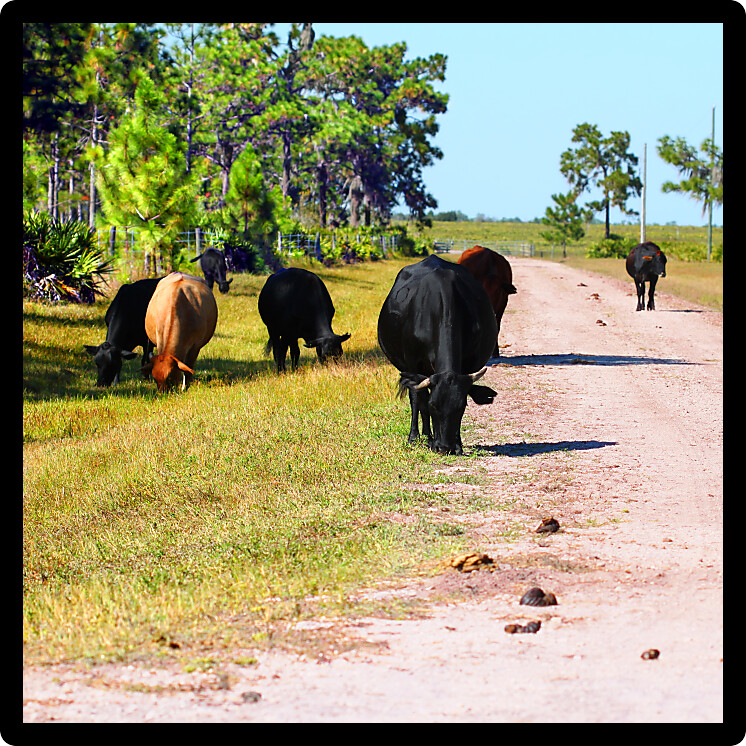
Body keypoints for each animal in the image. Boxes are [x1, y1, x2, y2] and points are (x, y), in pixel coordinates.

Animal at [377, 255, 498, 455]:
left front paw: (458, 444)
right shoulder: (412, 363)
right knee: (418, 398)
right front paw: (416, 438)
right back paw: (424, 436)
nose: (444, 447)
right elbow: (419, 400)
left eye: (462, 407)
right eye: (434, 405)